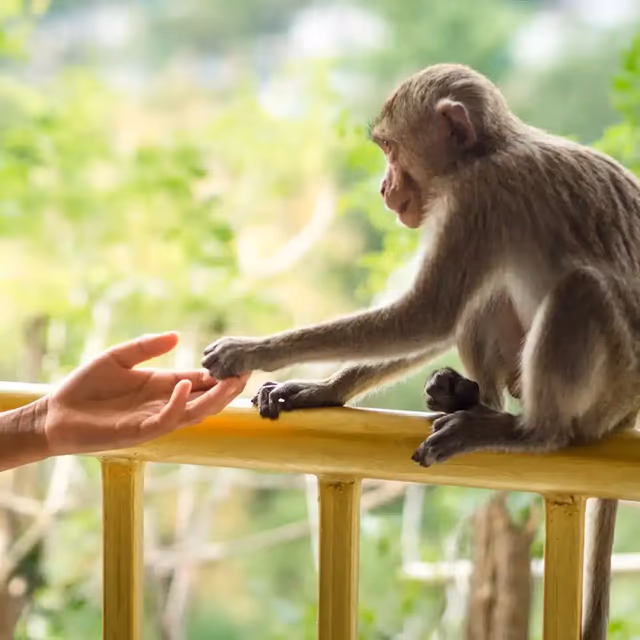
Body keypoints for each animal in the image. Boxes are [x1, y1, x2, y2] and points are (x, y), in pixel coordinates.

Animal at [202, 63, 640, 639]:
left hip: (612, 383)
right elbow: (436, 316)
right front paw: (322, 389)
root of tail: (629, 414)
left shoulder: (478, 198)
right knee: (488, 299)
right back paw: (473, 401)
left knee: (579, 290)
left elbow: (427, 313)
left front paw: (251, 351)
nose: (385, 187)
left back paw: (527, 431)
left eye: (390, 149)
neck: (486, 152)